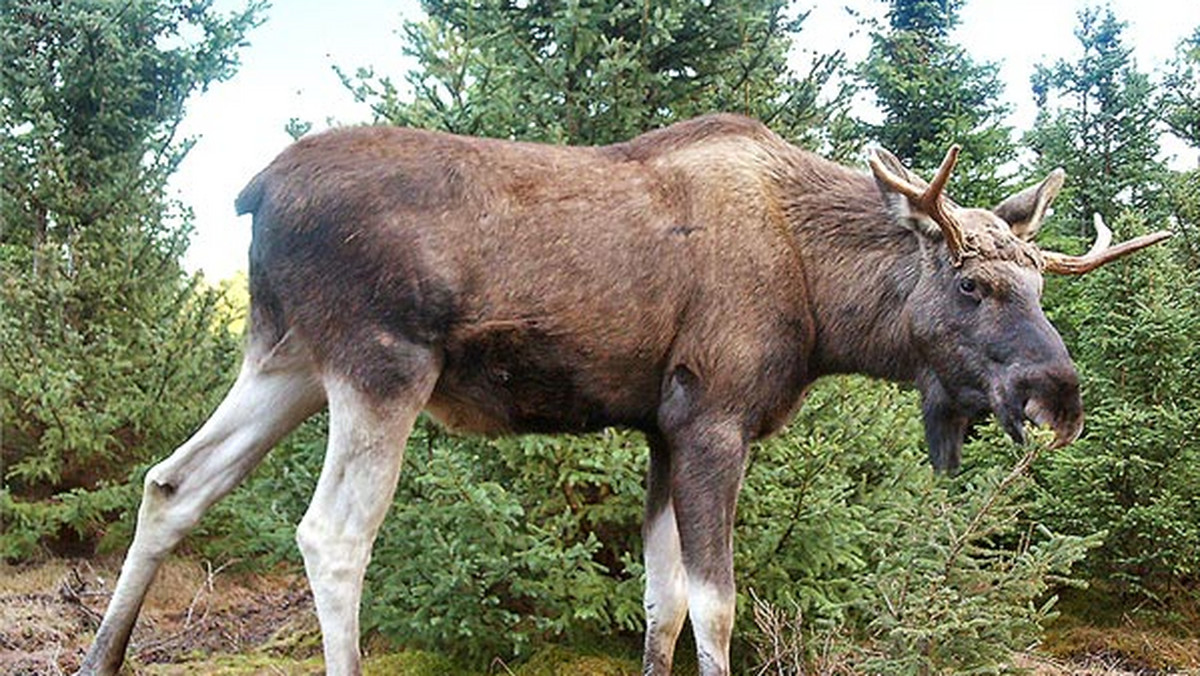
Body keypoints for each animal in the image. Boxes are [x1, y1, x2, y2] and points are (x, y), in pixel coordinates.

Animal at [79, 113, 1166, 672]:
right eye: (973, 285)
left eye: (1041, 284)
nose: (1059, 396)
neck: (825, 306)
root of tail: (252, 191)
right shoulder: (716, 418)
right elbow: (717, 606)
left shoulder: (659, 427)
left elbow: (659, 603)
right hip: (378, 365)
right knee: (332, 536)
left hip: (286, 361)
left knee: (171, 484)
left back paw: (102, 655)